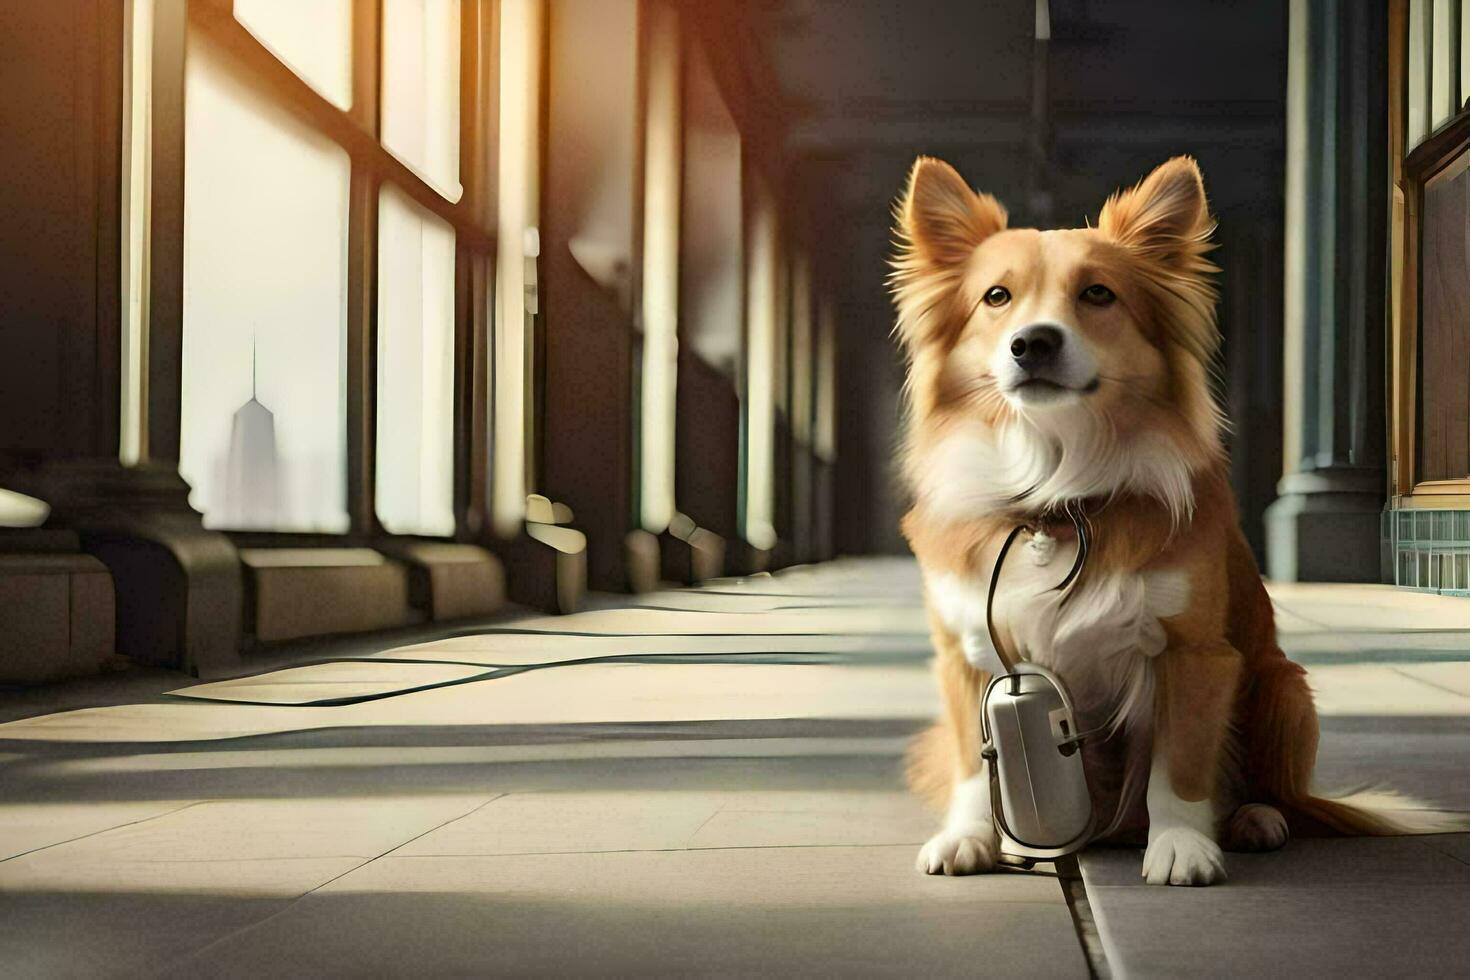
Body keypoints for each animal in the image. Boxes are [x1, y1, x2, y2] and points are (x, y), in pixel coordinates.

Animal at [893, 155, 1446, 887]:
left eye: (1098, 294)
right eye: (996, 297)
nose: (1032, 343)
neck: (1057, 494)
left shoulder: (1194, 654)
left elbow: (1178, 765)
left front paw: (1182, 845)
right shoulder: (967, 655)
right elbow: (968, 761)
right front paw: (967, 836)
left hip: (1283, 687)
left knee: (1279, 793)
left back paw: (1254, 819)